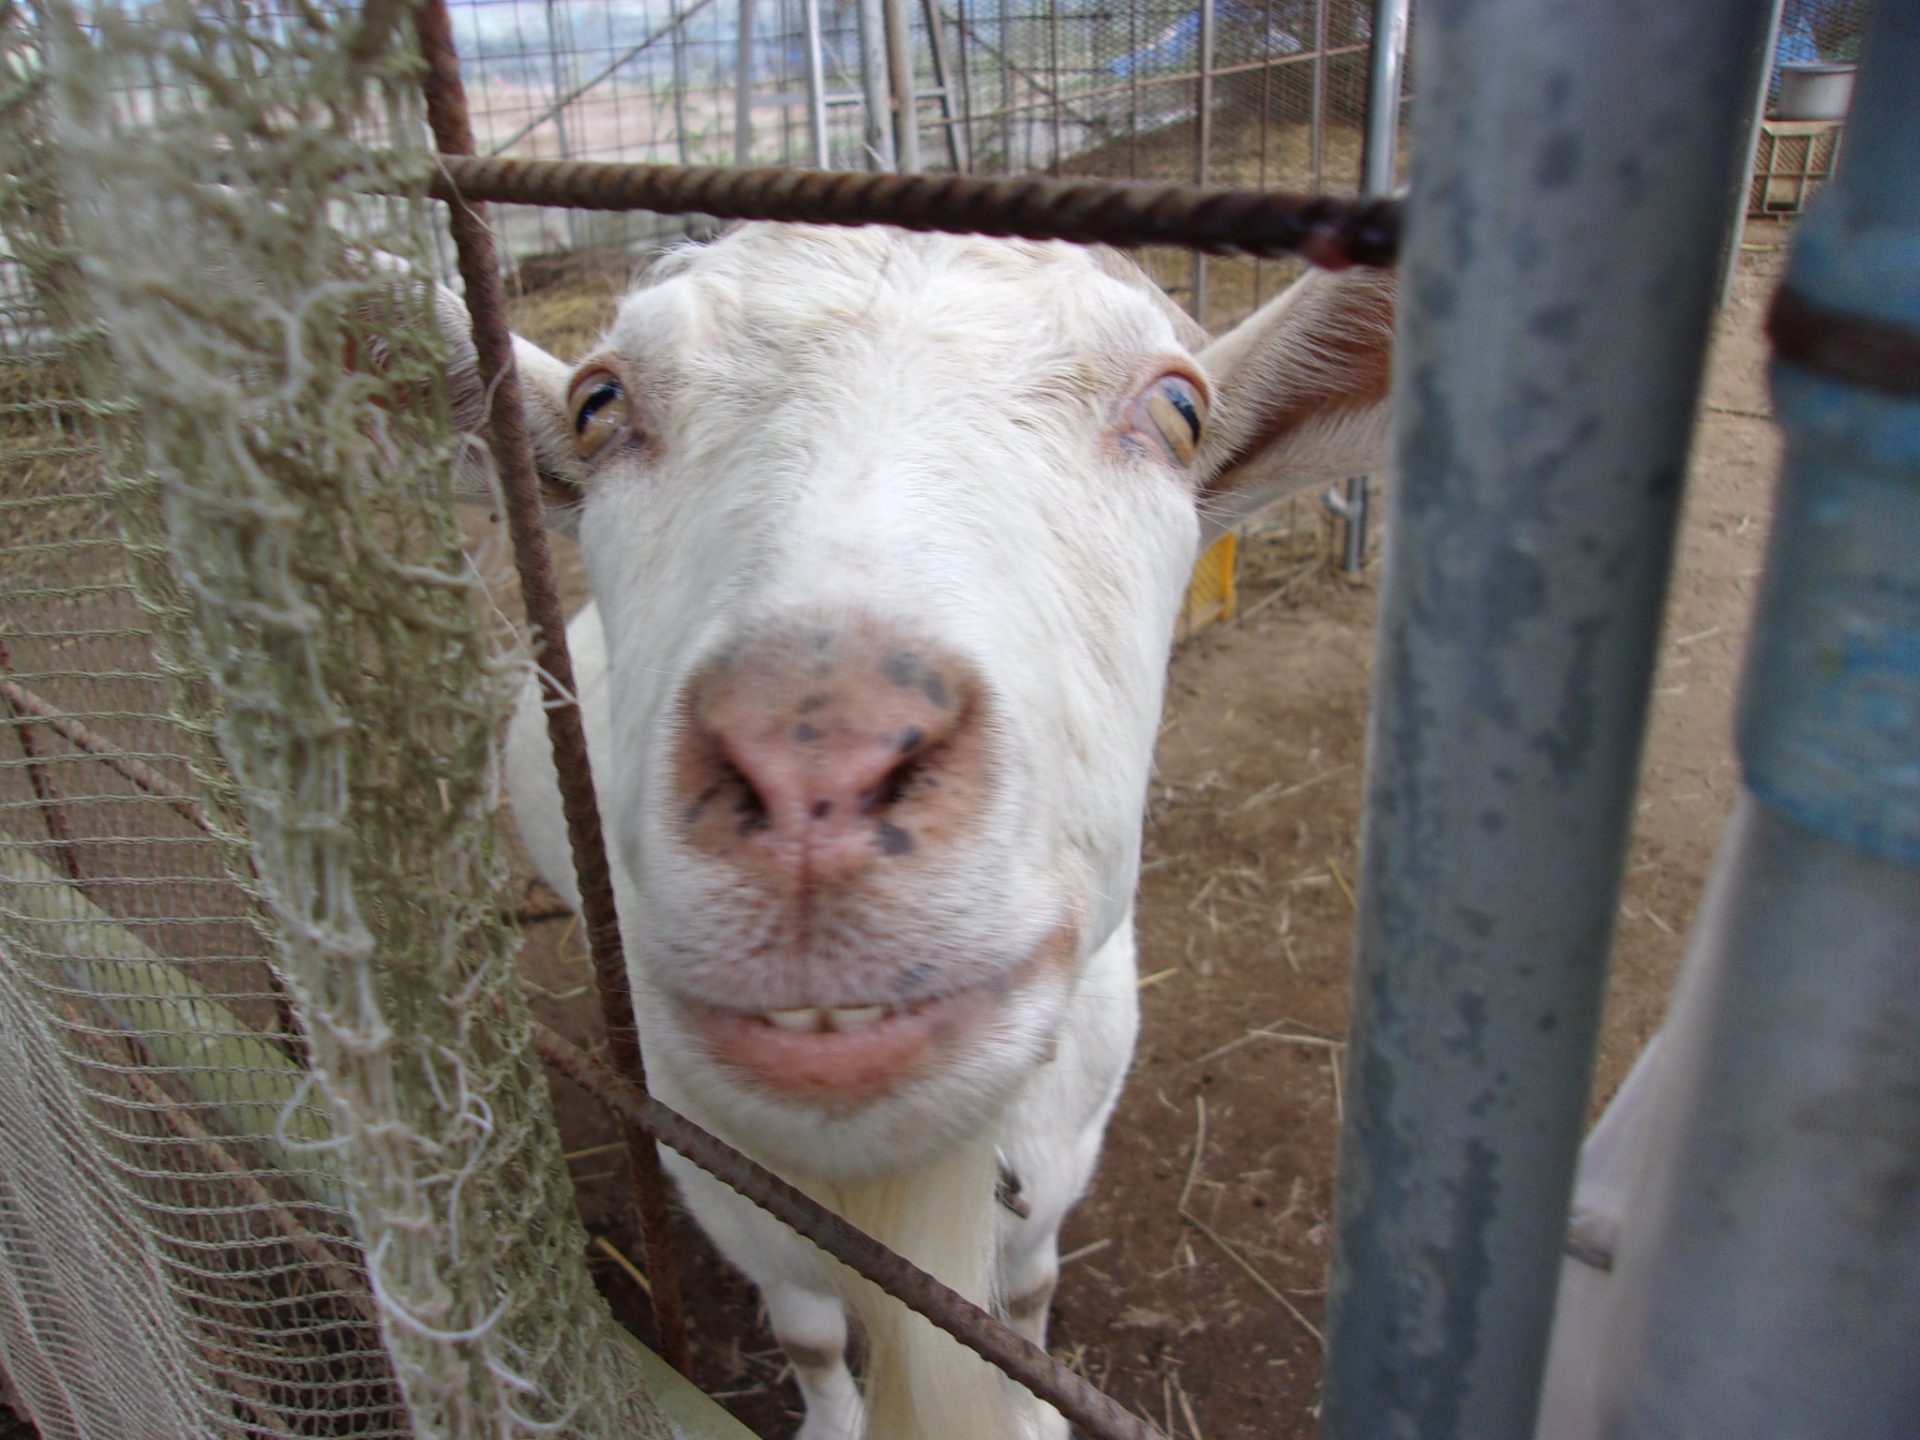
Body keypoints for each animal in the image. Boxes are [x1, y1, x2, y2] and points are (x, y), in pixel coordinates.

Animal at [441, 228, 1390, 1440]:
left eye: (1181, 409)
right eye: (599, 405)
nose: (818, 751)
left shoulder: (1059, 1162)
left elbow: (1027, 1298)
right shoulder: (732, 1196)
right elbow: (806, 1332)